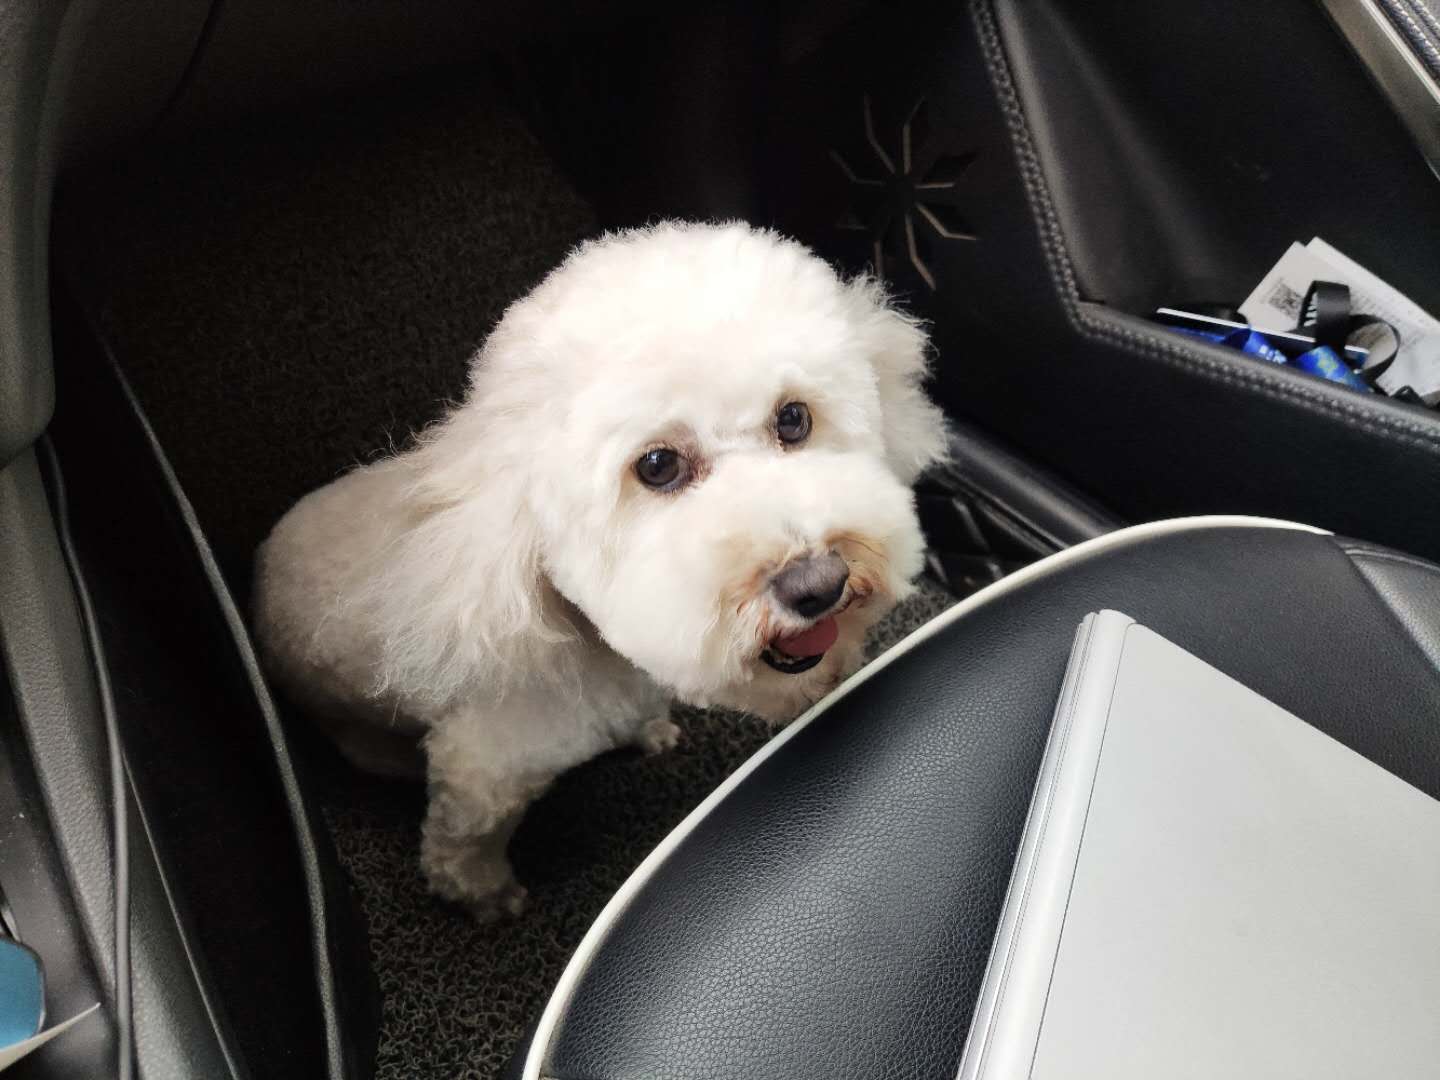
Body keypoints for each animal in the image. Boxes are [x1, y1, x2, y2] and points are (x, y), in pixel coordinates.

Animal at [253, 221, 948, 919]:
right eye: (658, 465)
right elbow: (464, 842)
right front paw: (486, 895)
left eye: (794, 418)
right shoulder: (481, 766)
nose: (819, 585)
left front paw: (653, 732)